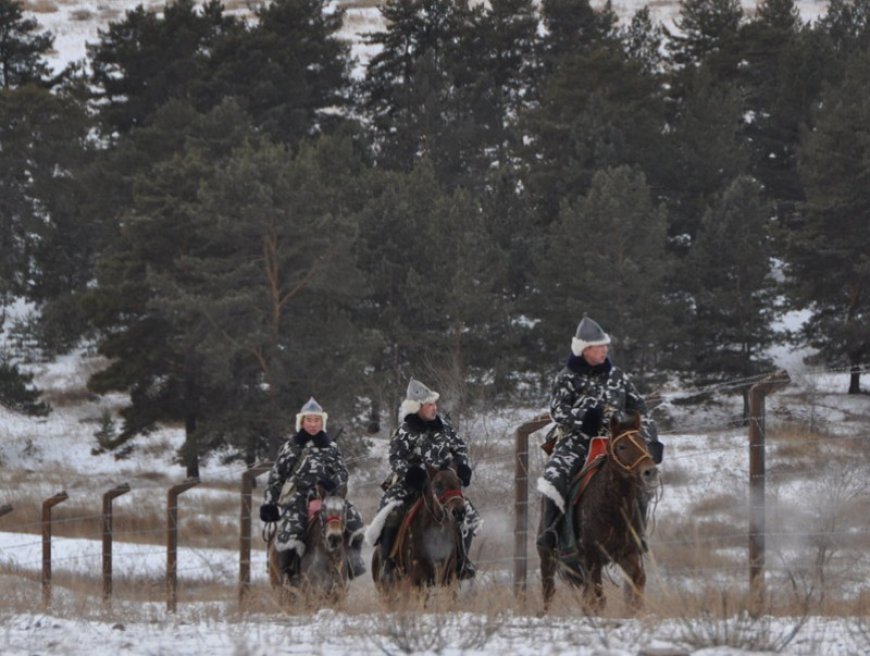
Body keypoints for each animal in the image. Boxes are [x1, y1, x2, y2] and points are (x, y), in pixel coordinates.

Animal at [540, 412, 660, 612]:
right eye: (622, 446)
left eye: (643, 442)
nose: (650, 472)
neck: (612, 509)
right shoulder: (591, 557)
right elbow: (598, 598)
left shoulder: (628, 553)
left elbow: (637, 583)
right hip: (548, 556)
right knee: (548, 590)